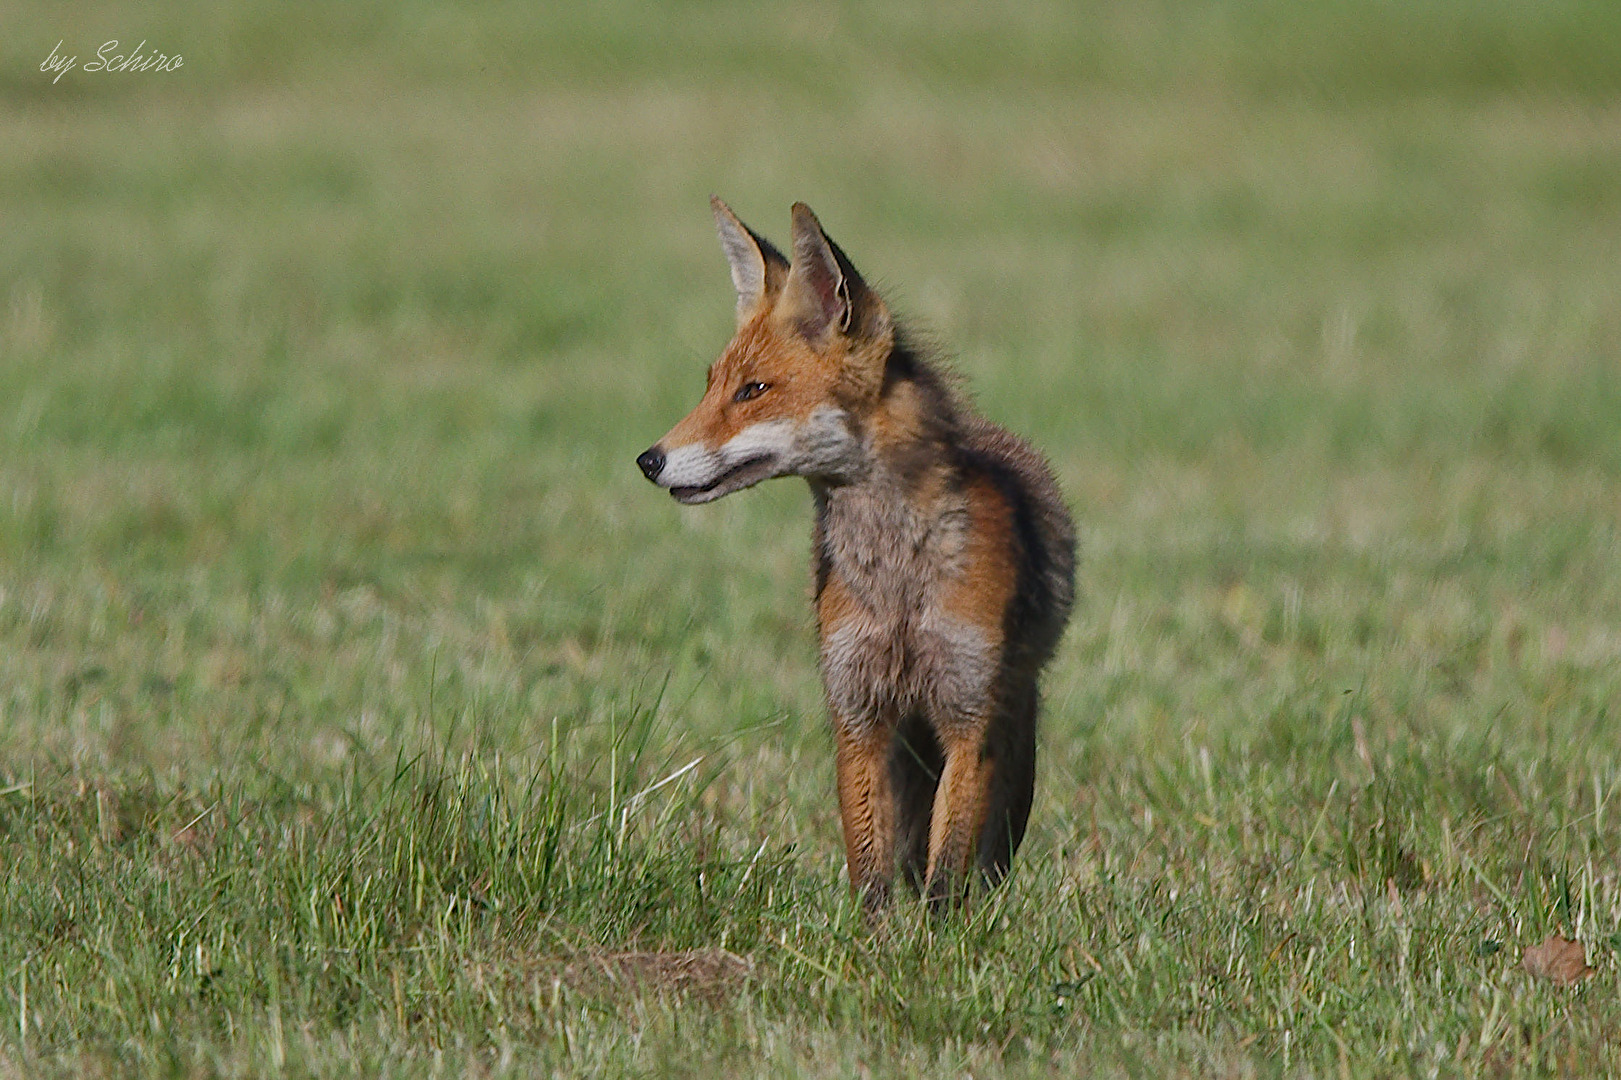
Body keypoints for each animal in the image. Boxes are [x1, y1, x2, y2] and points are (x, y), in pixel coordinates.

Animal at [637, 199, 1075, 912]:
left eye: (753, 390)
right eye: (711, 385)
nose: (649, 460)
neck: (897, 579)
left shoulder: (968, 714)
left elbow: (947, 867)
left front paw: (940, 939)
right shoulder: (857, 709)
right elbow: (871, 869)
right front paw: (875, 941)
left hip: (1009, 724)